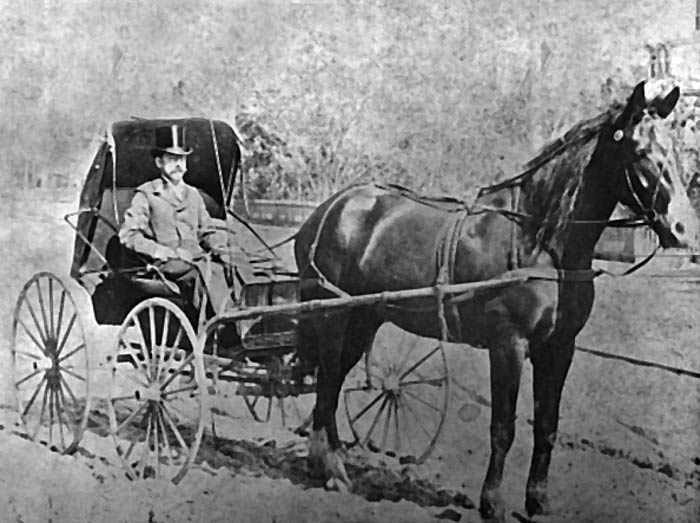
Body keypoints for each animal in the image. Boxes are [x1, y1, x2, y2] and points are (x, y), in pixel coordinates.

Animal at [293, 81, 700, 520]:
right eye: (640, 151)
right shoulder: (509, 345)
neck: (540, 241)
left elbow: (547, 426)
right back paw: (333, 470)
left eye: (674, 150)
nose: (684, 230)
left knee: (332, 384)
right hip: (333, 318)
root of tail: (329, 209)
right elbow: (503, 427)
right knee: (327, 384)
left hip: (363, 320)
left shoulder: (559, 349)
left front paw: (538, 501)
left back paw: (324, 463)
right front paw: (493, 503)